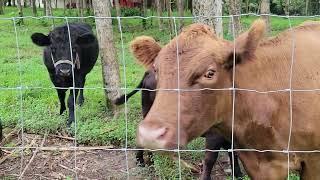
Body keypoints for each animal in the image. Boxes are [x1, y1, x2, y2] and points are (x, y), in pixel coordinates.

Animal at [114, 70, 242, 179]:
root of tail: (149, 72)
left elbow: (233, 154)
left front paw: (238, 174)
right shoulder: (214, 135)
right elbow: (210, 159)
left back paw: (147, 162)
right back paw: (144, 162)